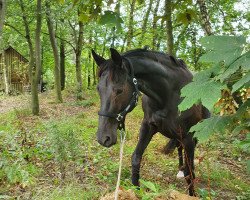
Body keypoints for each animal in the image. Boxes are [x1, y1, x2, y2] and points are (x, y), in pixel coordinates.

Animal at [92, 48, 209, 195]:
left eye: (119, 90)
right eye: (98, 89)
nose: (103, 138)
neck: (169, 95)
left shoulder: (188, 136)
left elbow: (190, 173)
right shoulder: (148, 126)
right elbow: (136, 158)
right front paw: (136, 191)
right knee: (178, 147)